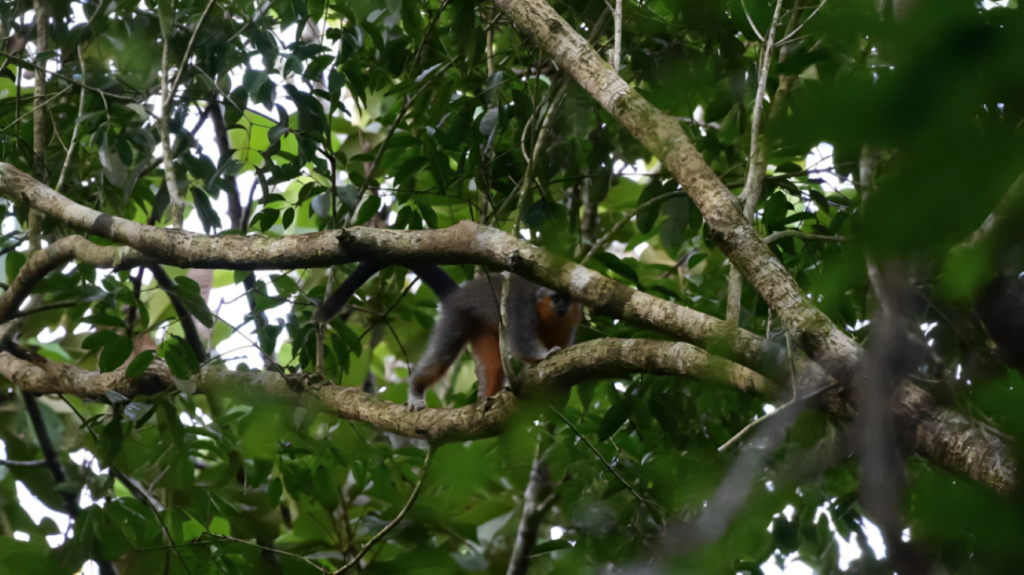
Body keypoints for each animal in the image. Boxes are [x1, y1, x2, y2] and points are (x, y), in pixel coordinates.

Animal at [312, 262, 583, 411]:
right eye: (555, 298)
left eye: (566, 299)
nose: (561, 307)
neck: (547, 314)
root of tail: (459, 294)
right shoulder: (520, 306)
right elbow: (520, 343)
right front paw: (544, 355)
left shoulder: (568, 326)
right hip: (457, 317)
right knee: (441, 358)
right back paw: (416, 390)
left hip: (481, 328)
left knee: (494, 365)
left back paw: (489, 400)